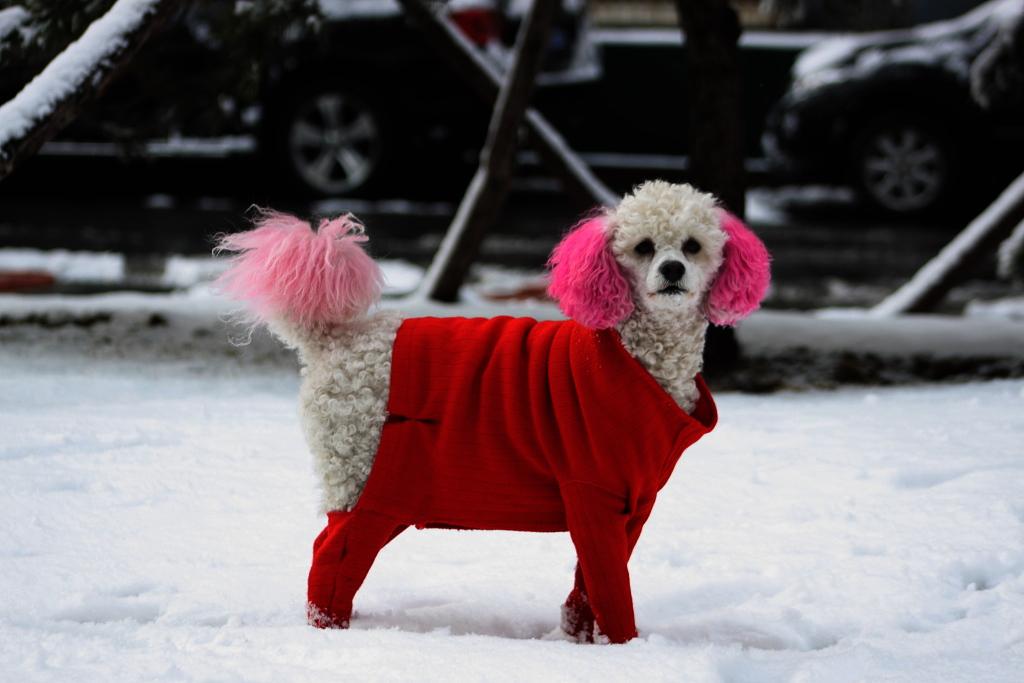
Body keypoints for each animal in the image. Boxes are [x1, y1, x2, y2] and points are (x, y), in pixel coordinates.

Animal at [214, 180, 770, 643]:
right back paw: (330, 632)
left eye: (693, 246)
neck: (634, 354)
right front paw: (626, 649)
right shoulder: (590, 492)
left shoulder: (630, 504)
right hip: (362, 475)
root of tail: (332, 340)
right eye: (644, 247)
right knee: (332, 557)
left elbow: (587, 585)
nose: (673, 270)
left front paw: (579, 641)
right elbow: (610, 586)